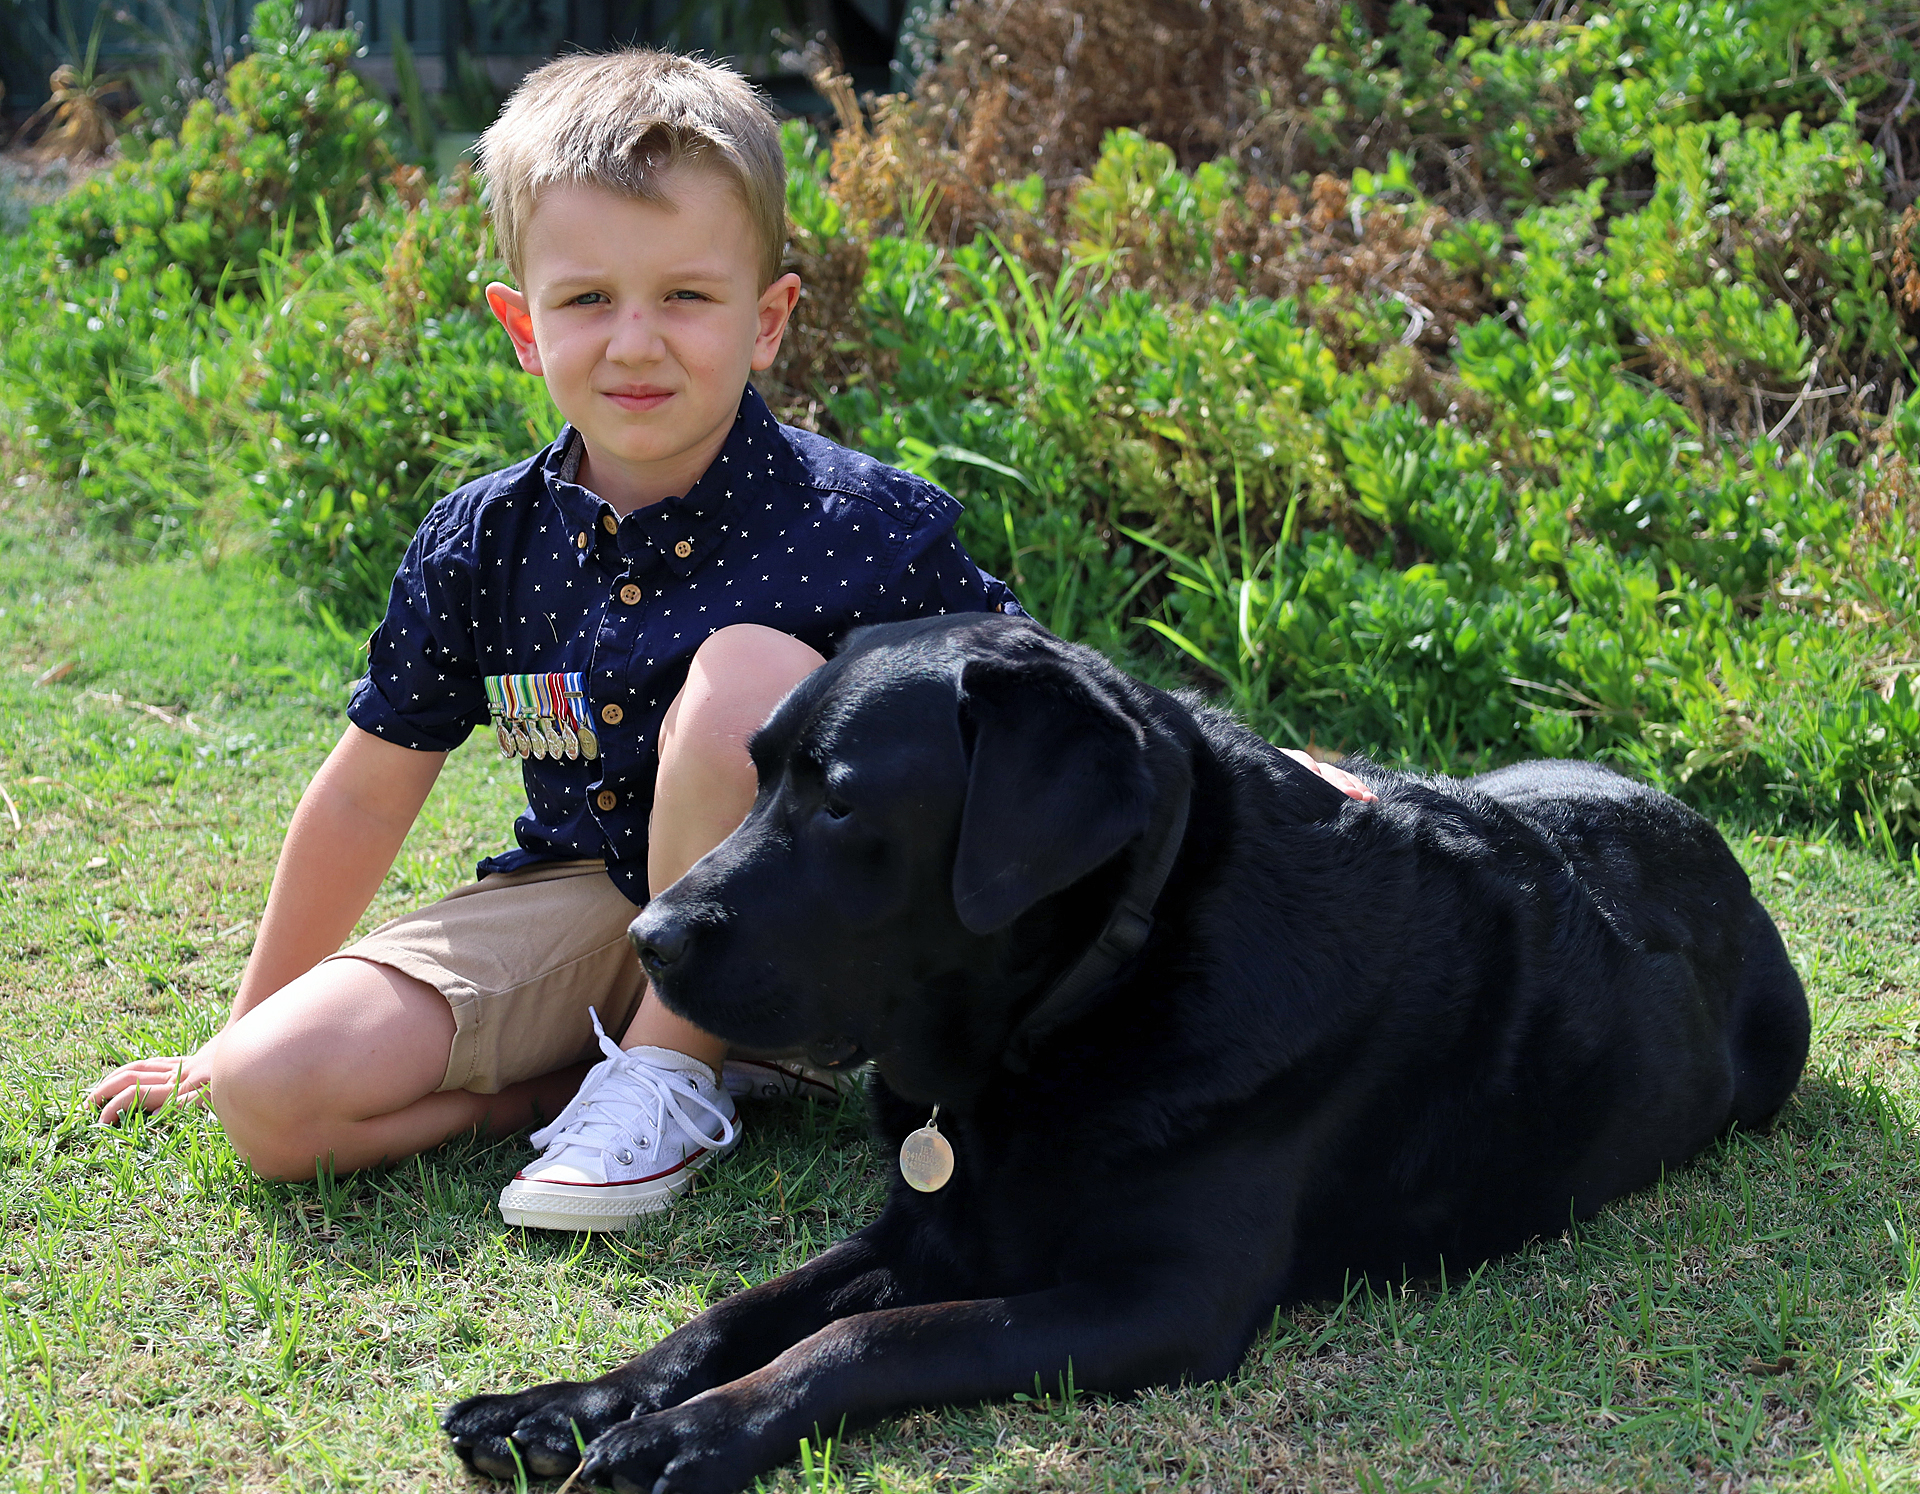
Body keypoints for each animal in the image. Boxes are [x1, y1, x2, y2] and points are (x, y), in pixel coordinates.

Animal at [449, 606, 1812, 1490]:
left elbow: (871, 1339)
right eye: (759, 777)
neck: (1081, 1006)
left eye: (839, 801)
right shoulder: (930, 1226)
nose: (650, 936)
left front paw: (691, 1435)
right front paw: (567, 1404)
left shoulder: (1159, 1302)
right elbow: (738, 1312)